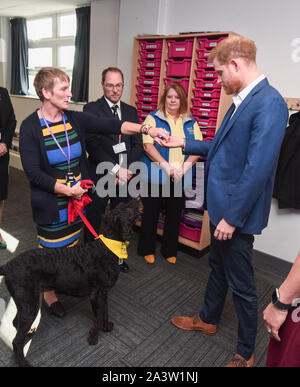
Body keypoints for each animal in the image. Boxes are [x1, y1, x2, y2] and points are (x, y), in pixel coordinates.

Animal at [0, 199, 139, 368]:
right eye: (127, 210)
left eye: (121, 206)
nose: (136, 199)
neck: (108, 247)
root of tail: (8, 266)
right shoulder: (96, 296)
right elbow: (98, 317)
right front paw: (94, 337)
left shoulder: (104, 294)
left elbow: (105, 313)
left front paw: (106, 327)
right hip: (29, 304)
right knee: (16, 341)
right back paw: (23, 361)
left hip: (25, 302)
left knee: (16, 322)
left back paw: (29, 333)